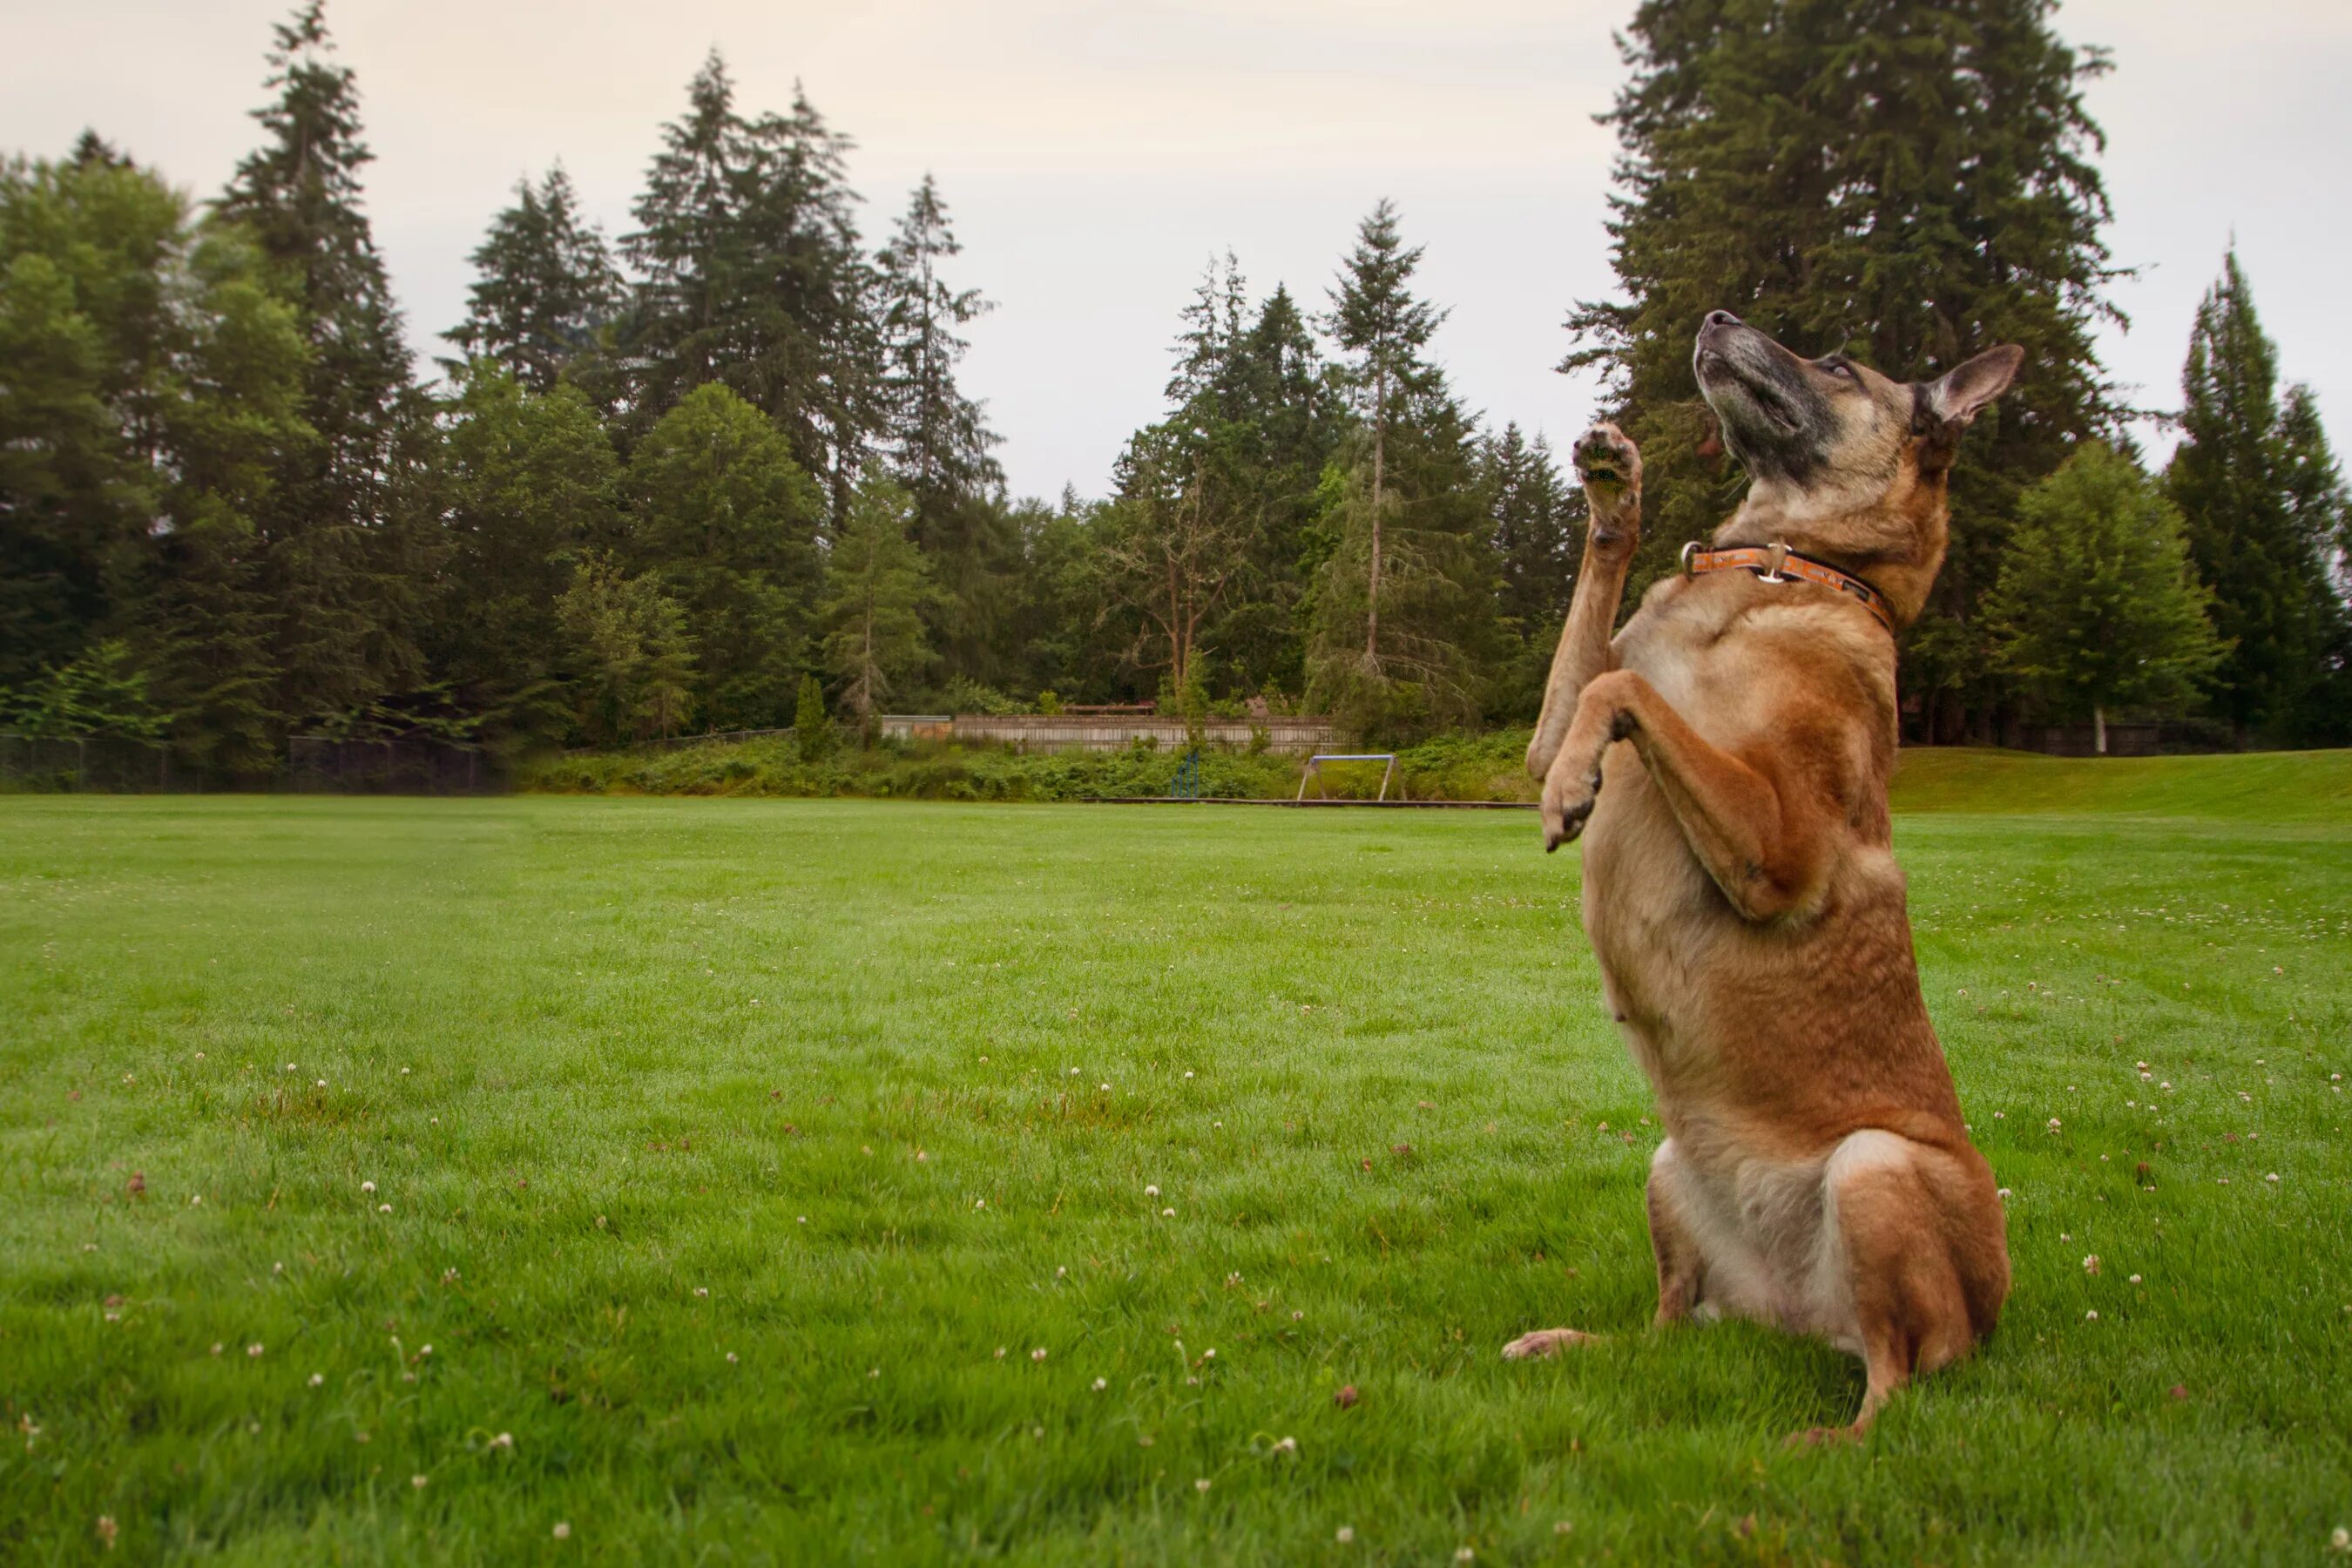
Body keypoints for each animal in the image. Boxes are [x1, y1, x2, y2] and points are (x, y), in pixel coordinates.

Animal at [1505, 310, 2023, 1448]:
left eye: (1835, 365)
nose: (1715, 319)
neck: (1789, 572)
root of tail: (1797, 1323)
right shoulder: (1565, 711)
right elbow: (1594, 669)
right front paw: (1616, 495)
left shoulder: (1778, 848)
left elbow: (1621, 688)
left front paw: (1571, 791)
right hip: (1666, 1170)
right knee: (1663, 1329)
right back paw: (1572, 1344)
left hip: (1874, 1169)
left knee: (1899, 1380)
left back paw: (1826, 1442)